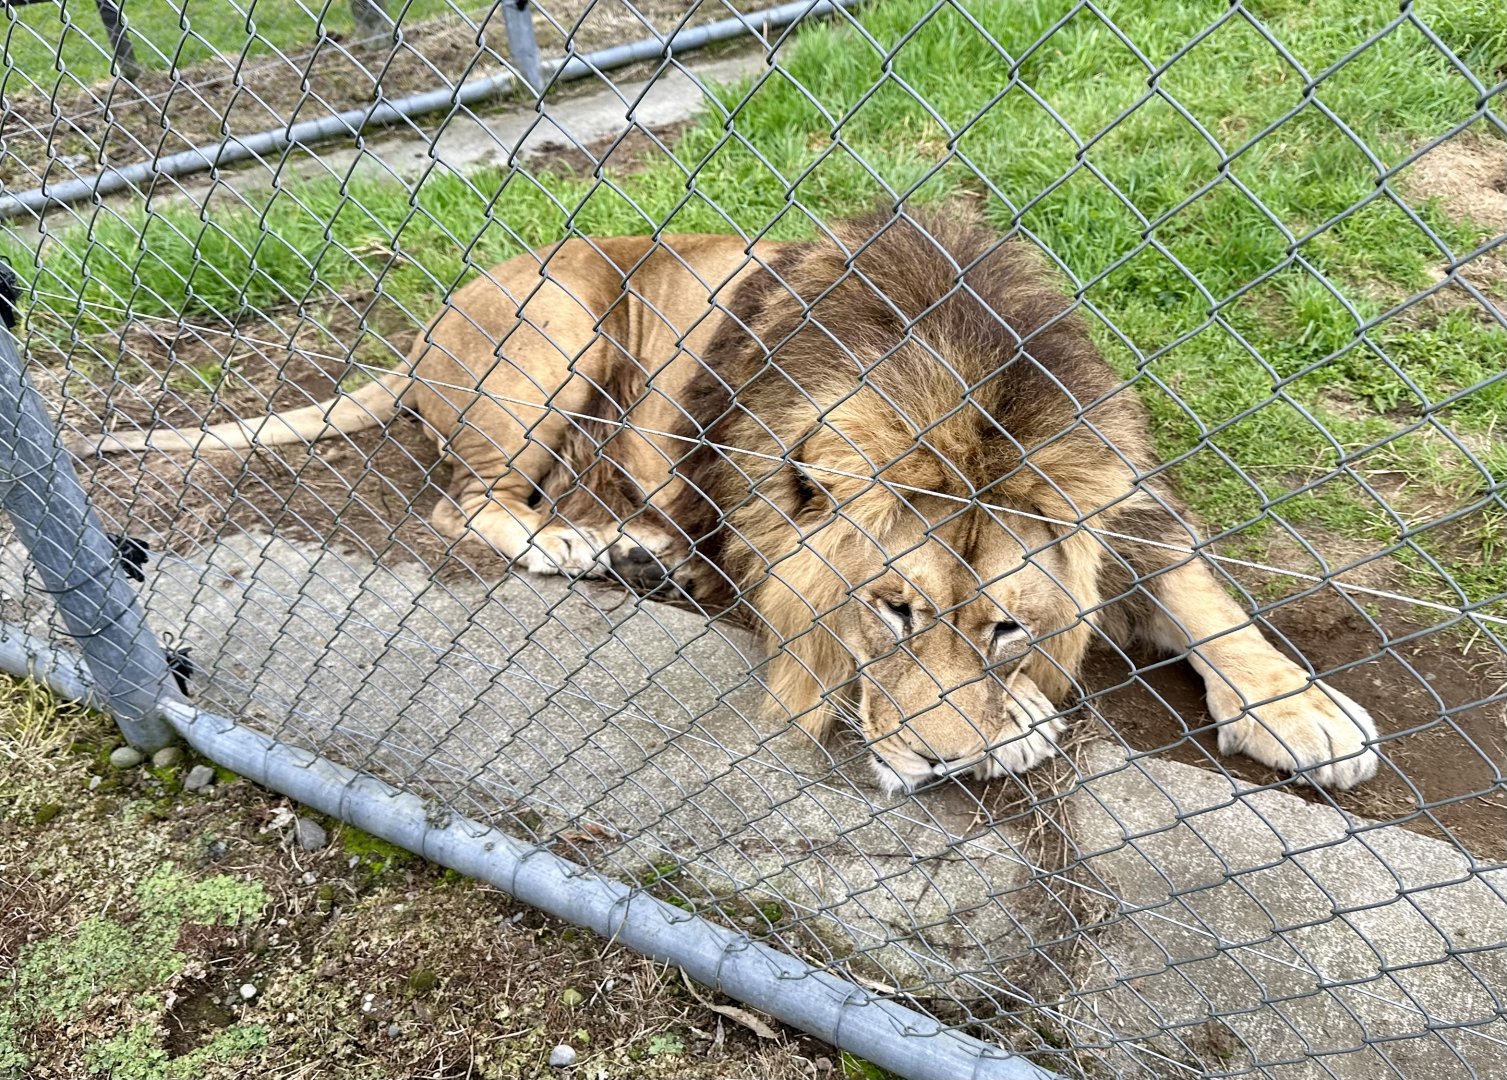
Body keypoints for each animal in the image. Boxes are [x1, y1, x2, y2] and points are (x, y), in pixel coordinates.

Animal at [89, 208, 1379, 793]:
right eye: (891, 609)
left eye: (1004, 623)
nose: (940, 767)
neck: (966, 383)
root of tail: (425, 329)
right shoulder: (772, 538)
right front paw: (1015, 724)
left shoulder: (1128, 498)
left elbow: (1205, 595)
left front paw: (1300, 709)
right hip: (558, 320)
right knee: (464, 505)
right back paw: (575, 544)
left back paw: (630, 542)